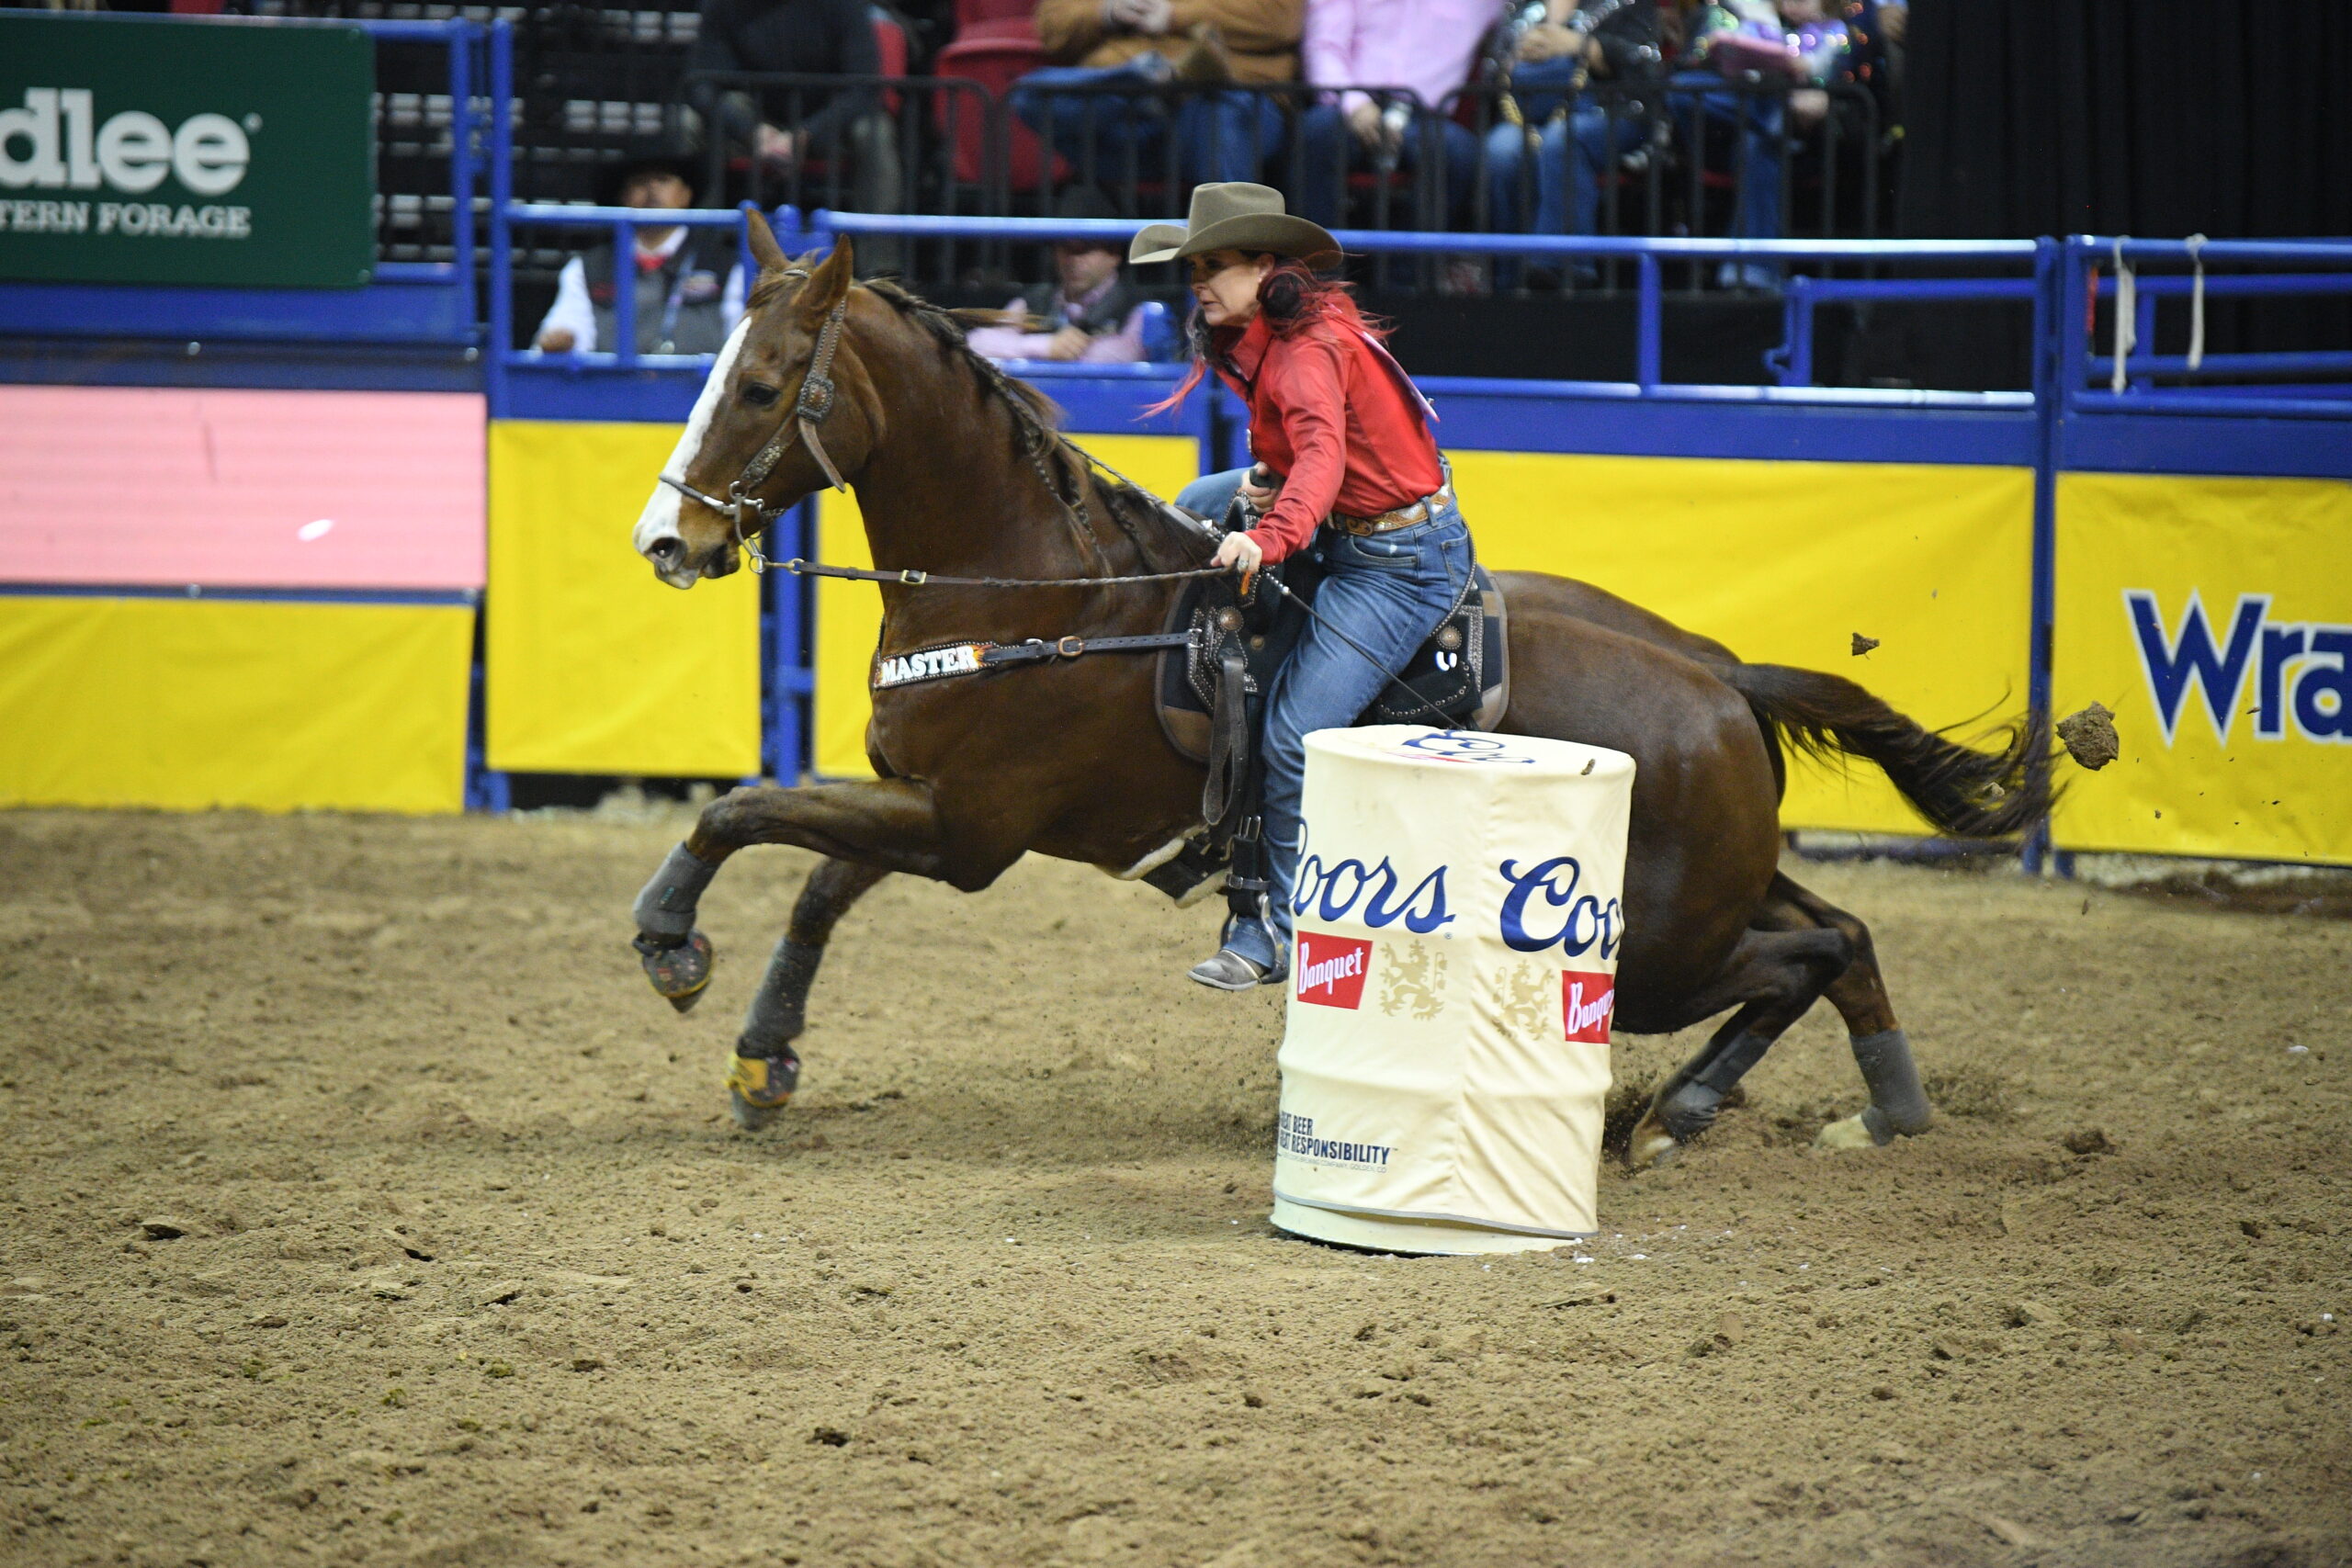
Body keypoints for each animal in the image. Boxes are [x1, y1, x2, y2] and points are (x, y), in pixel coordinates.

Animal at [620, 217, 2041, 1175]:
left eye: (760, 385)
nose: (665, 543)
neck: (1037, 590)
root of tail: (1723, 676)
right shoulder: (924, 805)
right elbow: (817, 880)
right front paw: (761, 1062)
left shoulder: (968, 832)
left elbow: (747, 809)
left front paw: (668, 940)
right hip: (1720, 883)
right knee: (1842, 932)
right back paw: (1882, 1108)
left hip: (1658, 946)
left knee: (1803, 954)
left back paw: (1694, 1110)